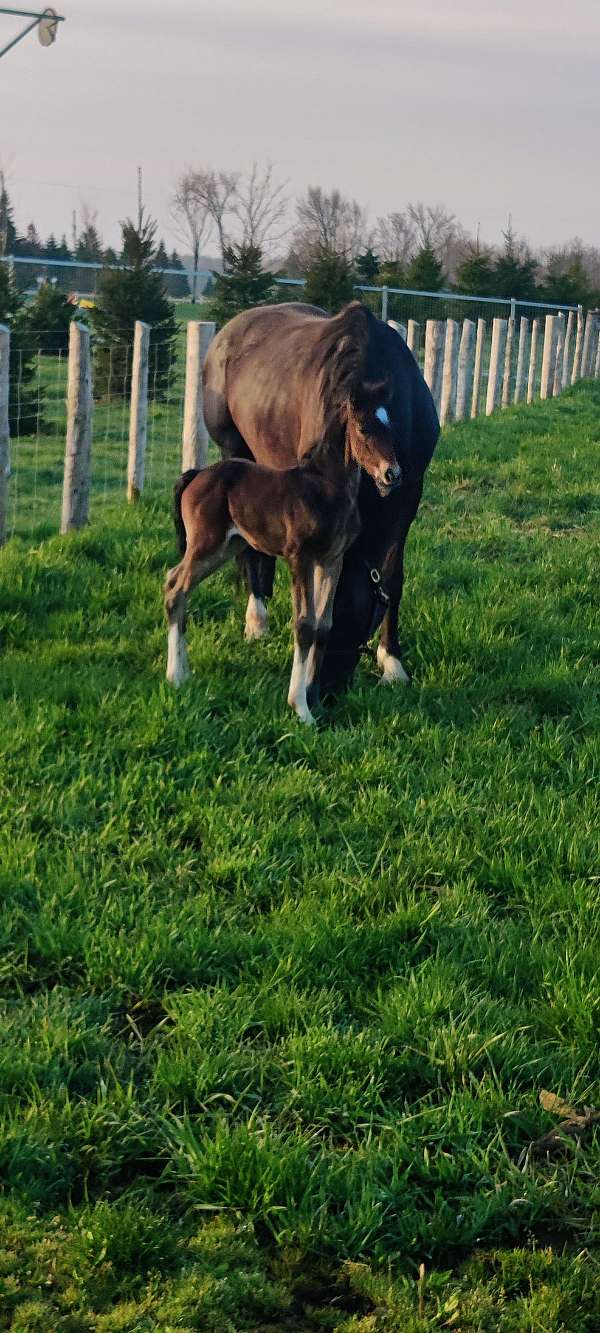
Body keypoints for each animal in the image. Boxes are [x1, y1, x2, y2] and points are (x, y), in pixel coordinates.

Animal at [165, 359, 397, 725]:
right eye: (363, 428)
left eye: (391, 425)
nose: (392, 474)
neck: (328, 487)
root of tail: (196, 474)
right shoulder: (299, 557)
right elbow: (304, 625)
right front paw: (300, 709)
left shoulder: (331, 559)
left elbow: (323, 625)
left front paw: (314, 701)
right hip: (207, 544)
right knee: (176, 590)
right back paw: (175, 677)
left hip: (225, 547)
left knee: (174, 581)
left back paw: (183, 673)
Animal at [176, 303, 437, 698]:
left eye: (352, 620)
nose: (325, 690)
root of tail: (229, 332)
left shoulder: (408, 495)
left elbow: (393, 577)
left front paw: (392, 662)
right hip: (236, 451)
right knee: (249, 548)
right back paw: (257, 619)